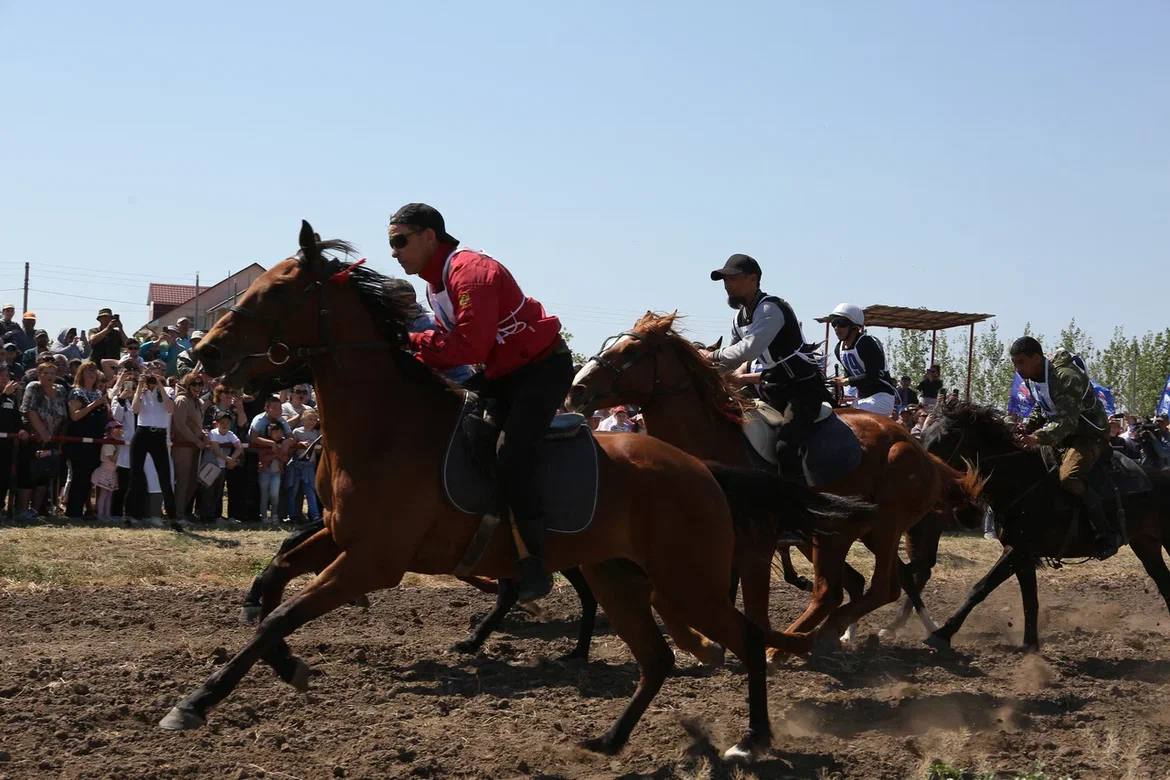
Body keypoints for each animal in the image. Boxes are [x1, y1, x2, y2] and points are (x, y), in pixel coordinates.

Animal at [160, 222, 865, 757]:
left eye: (278, 290)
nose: (204, 352)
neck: (386, 427)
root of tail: (700, 468)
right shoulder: (340, 535)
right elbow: (274, 581)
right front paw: (283, 663)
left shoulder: (373, 560)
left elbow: (283, 610)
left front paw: (196, 701)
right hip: (619, 575)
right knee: (659, 657)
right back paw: (610, 739)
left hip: (686, 579)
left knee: (747, 637)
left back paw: (755, 735)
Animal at [561, 311, 982, 659]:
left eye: (630, 350)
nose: (575, 389)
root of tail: (916, 445)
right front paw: (706, 644)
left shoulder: (756, 547)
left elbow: (751, 609)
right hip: (851, 533)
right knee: (859, 586)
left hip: (872, 527)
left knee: (872, 588)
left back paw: (813, 639)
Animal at [917, 406, 1170, 650]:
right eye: (925, 432)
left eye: (946, 436)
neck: (1022, 481)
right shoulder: (1021, 554)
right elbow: (1030, 600)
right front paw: (1030, 644)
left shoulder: (1018, 551)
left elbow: (980, 588)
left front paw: (941, 634)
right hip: (1146, 545)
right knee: (1163, 582)